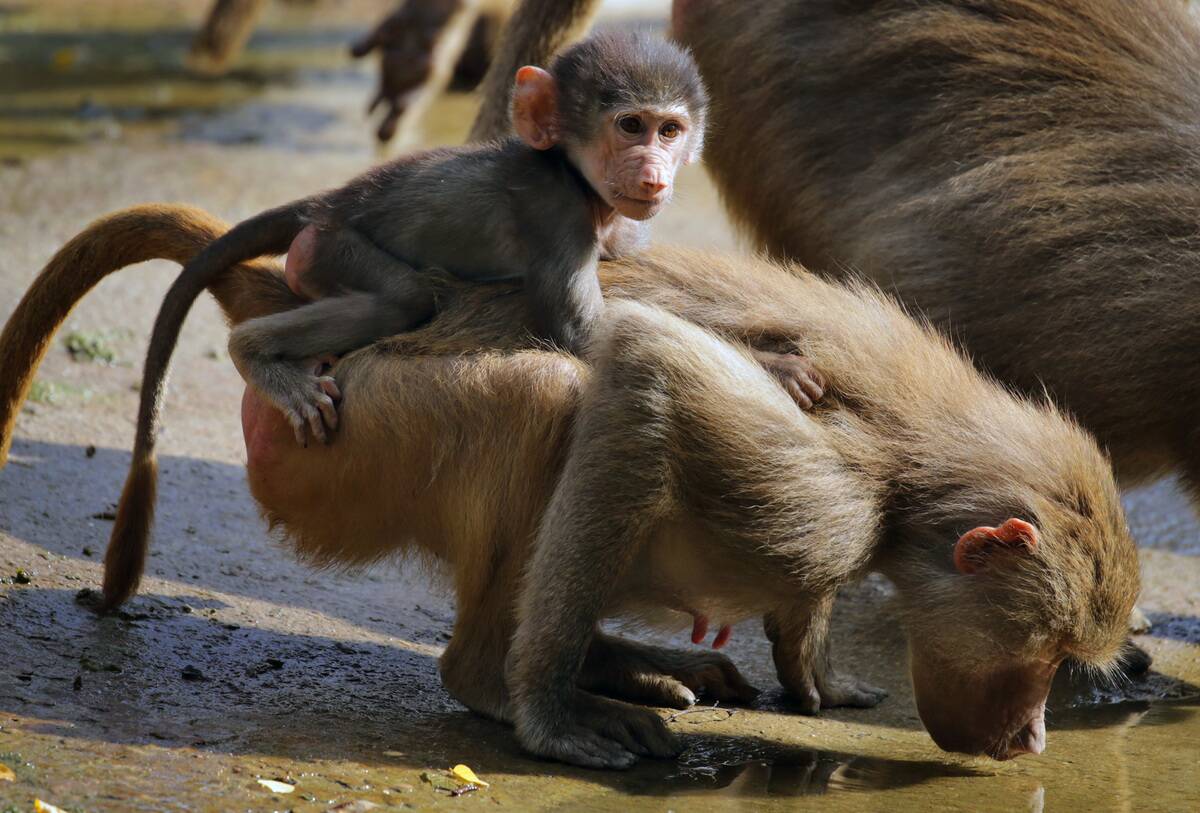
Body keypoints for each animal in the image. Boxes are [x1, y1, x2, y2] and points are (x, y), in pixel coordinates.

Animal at [0, 205, 1140, 769]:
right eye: (1044, 659)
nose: (1034, 738)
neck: (926, 463)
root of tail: (281, 299)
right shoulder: (835, 496)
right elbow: (644, 371)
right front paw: (552, 716)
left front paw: (812, 675)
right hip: (347, 433)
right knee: (554, 402)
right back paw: (507, 682)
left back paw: (617, 661)